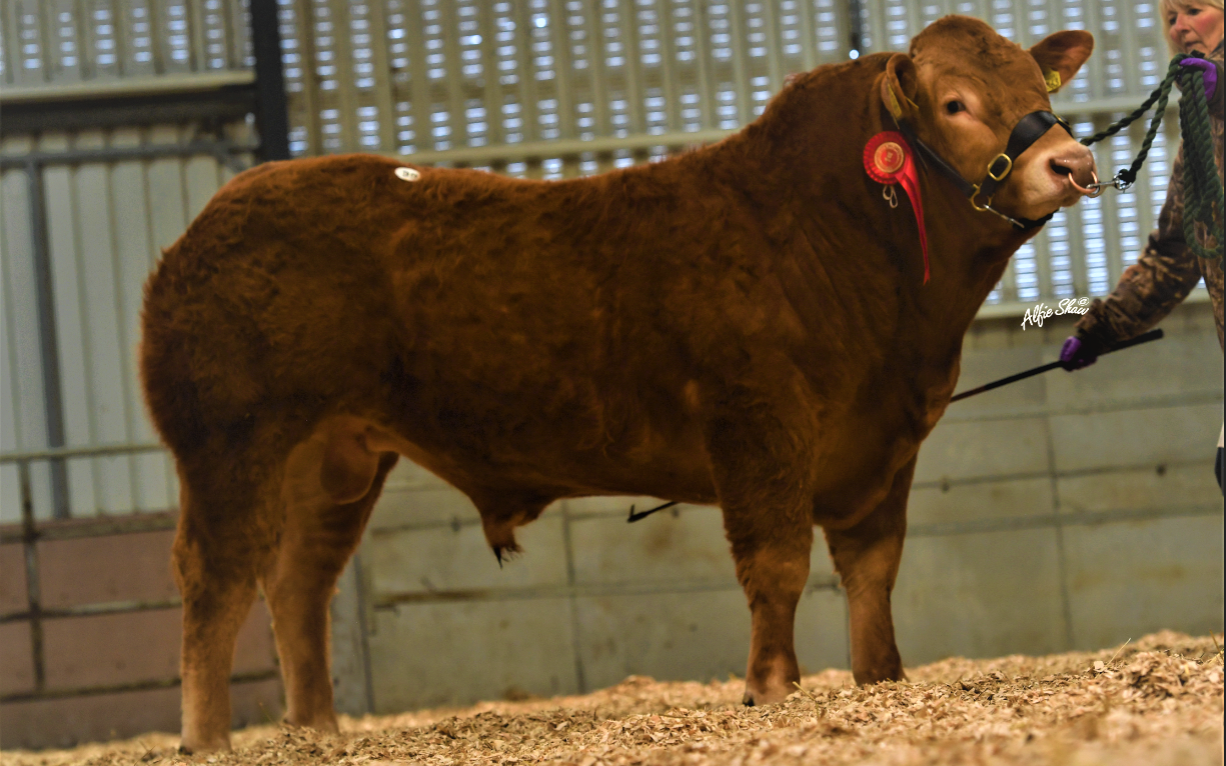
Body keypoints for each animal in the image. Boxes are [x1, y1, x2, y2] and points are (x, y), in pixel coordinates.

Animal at [140, 16, 1096, 752]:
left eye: (1036, 85)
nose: (1073, 161)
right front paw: (771, 689)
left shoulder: (884, 444)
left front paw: (881, 680)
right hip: (230, 442)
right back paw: (208, 738)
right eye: (956, 103)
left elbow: (873, 569)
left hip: (334, 455)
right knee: (215, 577)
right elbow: (777, 562)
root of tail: (207, 221)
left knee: (298, 581)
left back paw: (316, 731)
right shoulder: (758, 423)